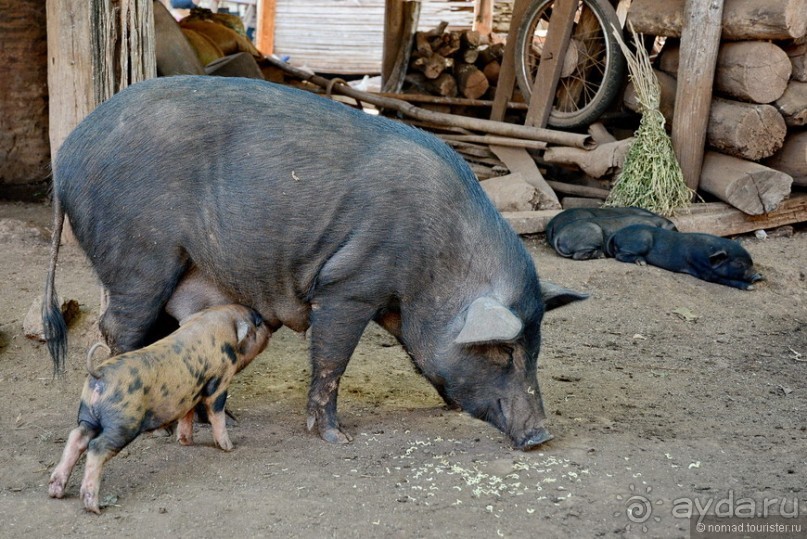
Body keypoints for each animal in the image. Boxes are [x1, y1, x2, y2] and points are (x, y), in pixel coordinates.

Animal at [42, 75, 588, 452]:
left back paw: (221, 420)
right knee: (120, 326)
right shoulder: (349, 284)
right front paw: (336, 439)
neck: (438, 263)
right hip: (138, 254)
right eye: (502, 351)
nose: (541, 437)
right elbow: (331, 360)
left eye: (535, 347)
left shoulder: (393, 303)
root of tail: (66, 158)